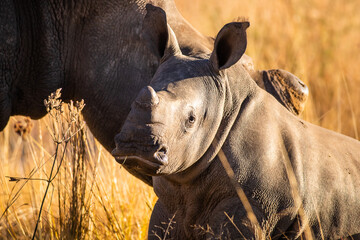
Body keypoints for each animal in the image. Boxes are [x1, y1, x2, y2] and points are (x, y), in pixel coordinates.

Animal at [112, 5, 360, 240]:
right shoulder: (169, 203)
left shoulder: (252, 206)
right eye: (132, 104)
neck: (225, 104)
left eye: (191, 119)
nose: (135, 147)